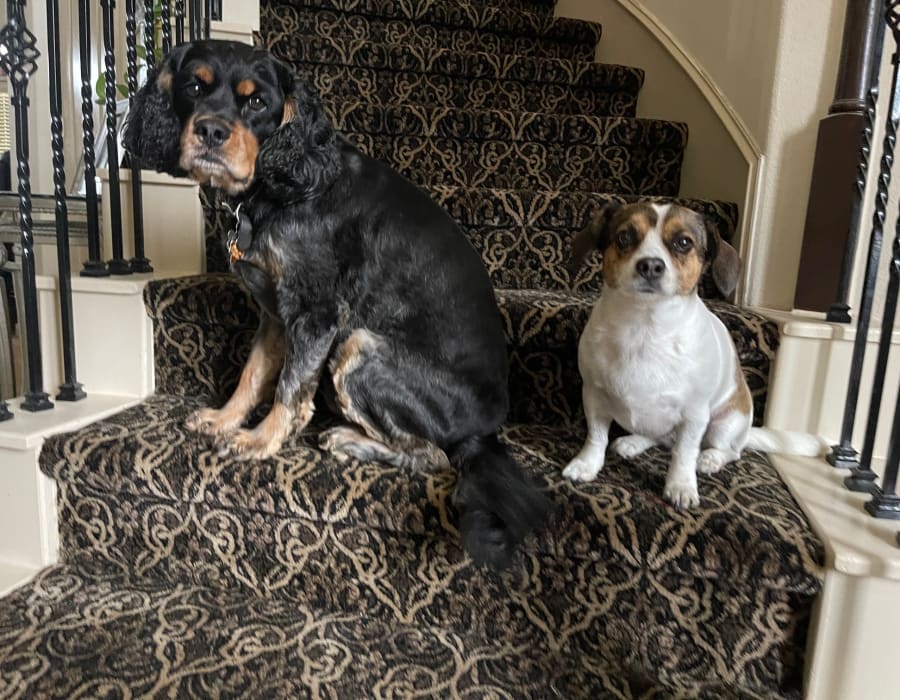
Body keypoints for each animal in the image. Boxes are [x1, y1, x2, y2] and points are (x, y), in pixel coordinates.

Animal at [568, 202, 828, 508]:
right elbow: (596, 437)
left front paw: (681, 485)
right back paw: (635, 442)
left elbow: (684, 453)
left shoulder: (693, 415)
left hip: (726, 423)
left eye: (683, 243)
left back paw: (709, 458)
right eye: (624, 237)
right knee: (662, 438)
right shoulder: (593, 396)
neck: (644, 327)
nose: (651, 265)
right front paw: (586, 465)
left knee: (727, 450)